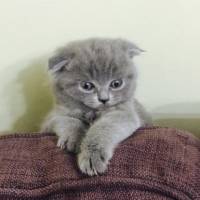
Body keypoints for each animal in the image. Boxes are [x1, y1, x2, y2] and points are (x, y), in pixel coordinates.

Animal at [41, 37, 152, 175]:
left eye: (116, 84)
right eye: (87, 86)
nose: (104, 99)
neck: (91, 112)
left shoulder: (123, 113)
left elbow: (102, 129)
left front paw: (92, 157)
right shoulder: (53, 117)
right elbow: (68, 121)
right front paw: (73, 139)